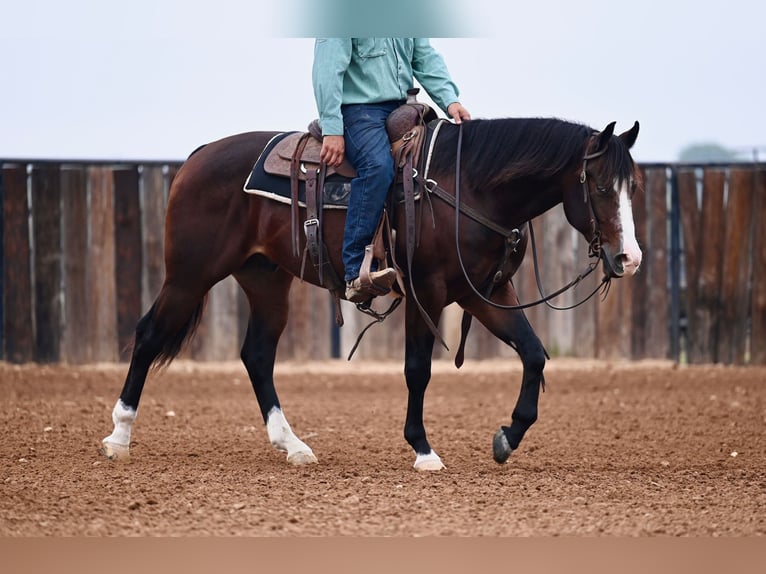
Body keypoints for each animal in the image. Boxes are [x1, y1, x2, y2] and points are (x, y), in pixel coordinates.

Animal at [100, 117, 642, 471]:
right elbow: (418, 370)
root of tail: (199, 155)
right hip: (189, 274)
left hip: (266, 280)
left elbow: (534, 353)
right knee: (149, 335)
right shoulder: (426, 291)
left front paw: (508, 436)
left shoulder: (484, 293)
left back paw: (292, 445)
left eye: (632, 187)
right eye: (598, 186)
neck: (466, 186)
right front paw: (423, 450)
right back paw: (119, 436)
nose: (629, 258)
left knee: (256, 354)